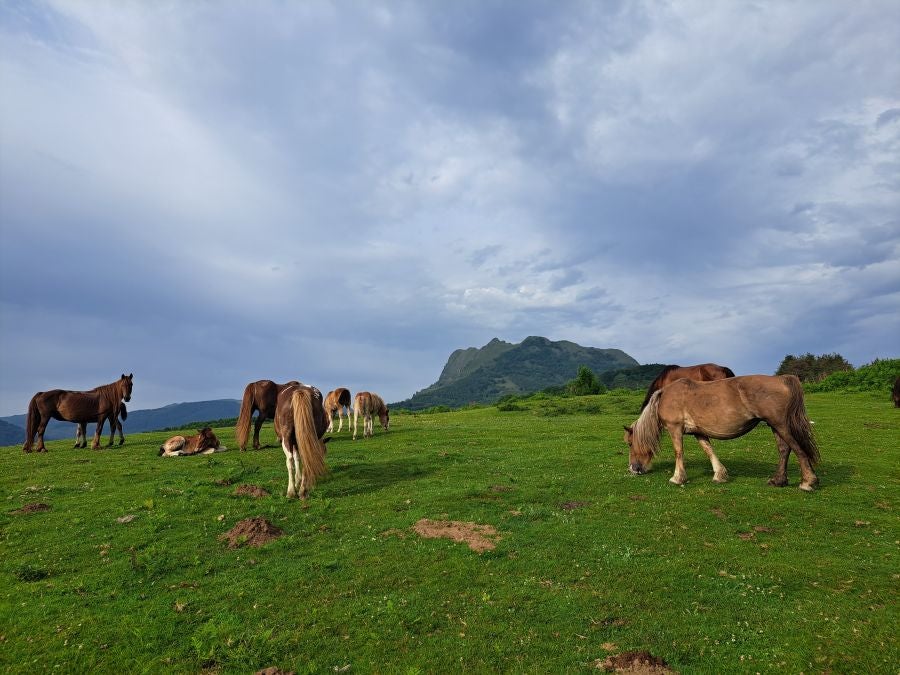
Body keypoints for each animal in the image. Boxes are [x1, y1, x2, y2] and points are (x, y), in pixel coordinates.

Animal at [624, 374, 820, 492]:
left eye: (630, 443)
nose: (633, 469)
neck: (666, 397)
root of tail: (781, 378)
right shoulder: (698, 432)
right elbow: (708, 450)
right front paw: (719, 474)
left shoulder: (675, 428)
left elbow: (679, 452)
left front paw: (677, 478)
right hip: (775, 426)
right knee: (784, 450)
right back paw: (778, 480)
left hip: (780, 425)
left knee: (798, 450)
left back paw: (807, 481)